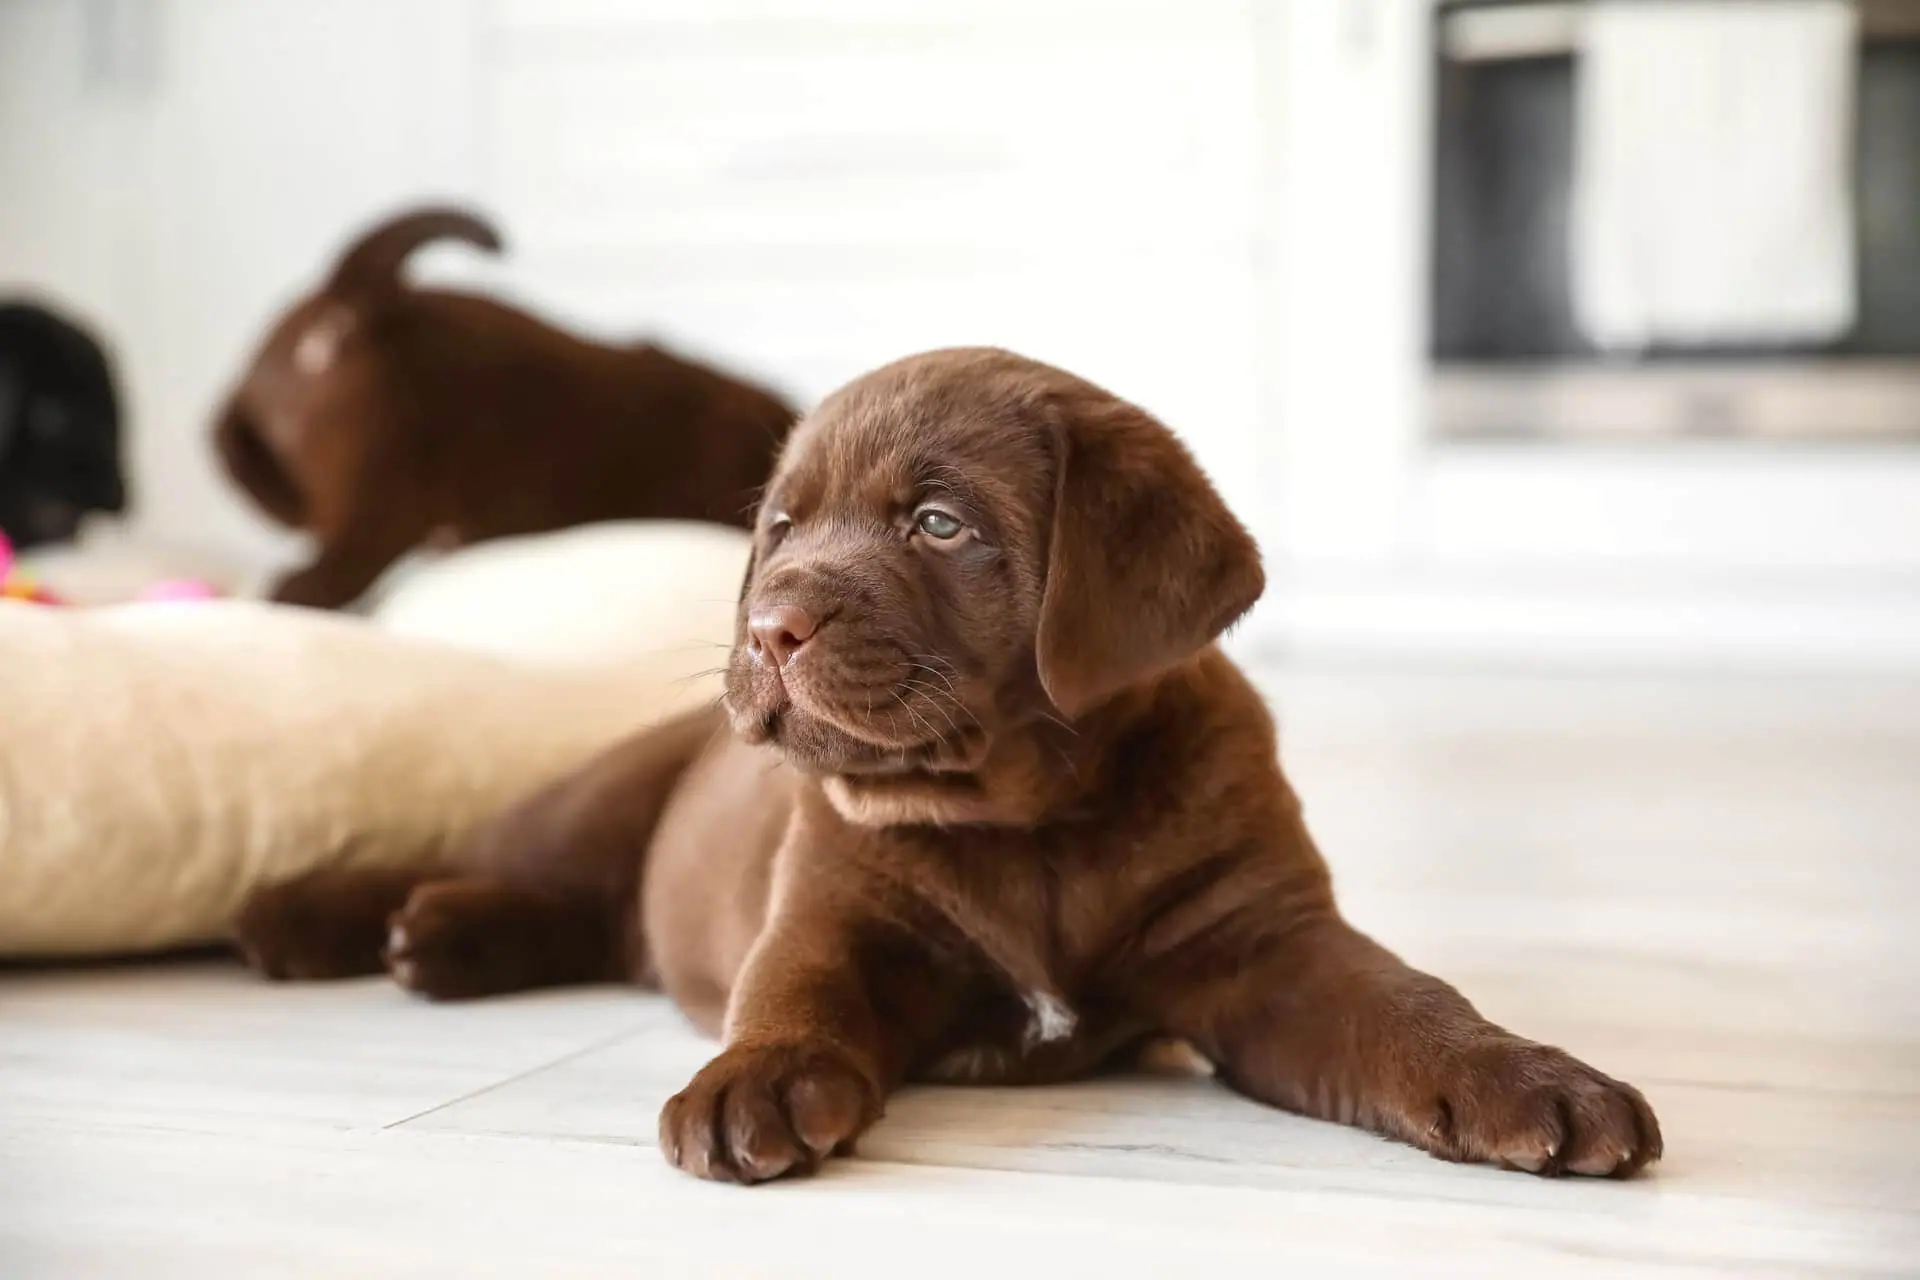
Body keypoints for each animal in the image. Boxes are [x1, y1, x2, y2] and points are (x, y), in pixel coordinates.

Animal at [232, 347, 1658, 1182]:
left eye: (938, 523)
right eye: (782, 526)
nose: (768, 626)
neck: (1027, 819)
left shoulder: (1265, 945)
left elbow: (1408, 1002)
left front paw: (1537, 1076)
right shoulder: (828, 906)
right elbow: (789, 990)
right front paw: (750, 1080)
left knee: (584, 919)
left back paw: (445, 941)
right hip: (595, 796)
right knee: (490, 852)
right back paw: (317, 915)